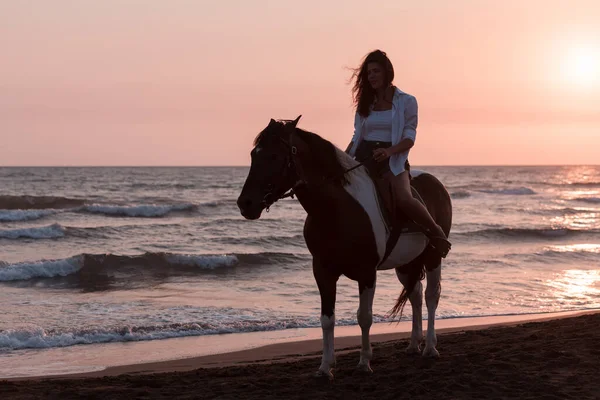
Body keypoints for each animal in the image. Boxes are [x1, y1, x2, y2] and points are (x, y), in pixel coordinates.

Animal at [237, 115, 452, 378]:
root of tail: (436, 183)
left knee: (431, 296)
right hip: (406, 263)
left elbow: (364, 317)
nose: (245, 203)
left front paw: (364, 362)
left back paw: (430, 347)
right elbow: (327, 319)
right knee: (416, 294)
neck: (337, 209)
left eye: (275, 156)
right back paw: (413, 344)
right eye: (253, 154)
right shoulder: (323, 271)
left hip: (432, 257)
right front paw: (325, 367)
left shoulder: (367, 272)